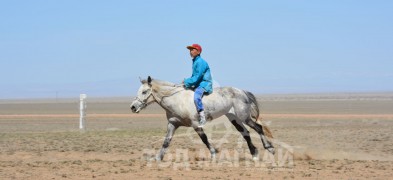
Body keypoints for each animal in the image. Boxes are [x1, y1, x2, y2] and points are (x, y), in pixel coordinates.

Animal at [129, 76, 272, 161]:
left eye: (144, 92)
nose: (133, 107)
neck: (176, 100)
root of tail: (242, 91)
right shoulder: (172, 124)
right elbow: (166, 141)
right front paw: (158, 157)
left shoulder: (196, 124)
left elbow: (204, 139)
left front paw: (213, 154)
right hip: (234, 119)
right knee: (246, 133)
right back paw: (254, 154)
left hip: (244, 117)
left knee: (258, 128)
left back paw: (269, 148)